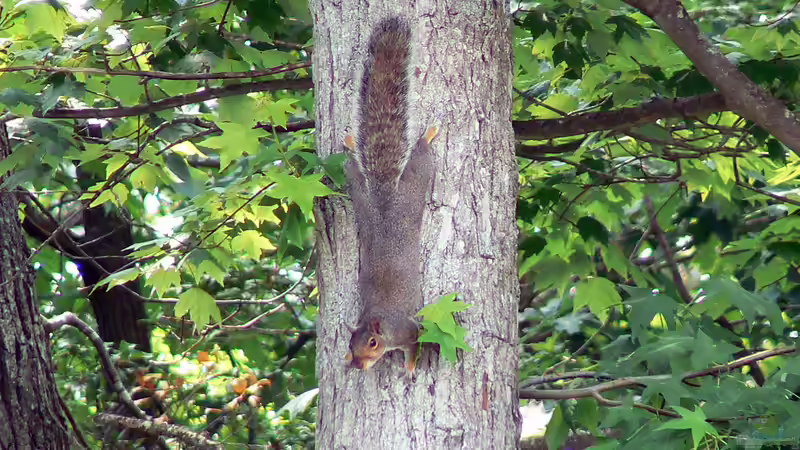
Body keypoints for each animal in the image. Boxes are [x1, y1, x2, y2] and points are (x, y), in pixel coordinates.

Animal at [343, 17, 438, 376]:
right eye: (349, 344)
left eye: (372, 343)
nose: (358, 365)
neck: (378, 319)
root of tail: (384, 204)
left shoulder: (408, 329)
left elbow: (415, 344)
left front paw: (410, 366)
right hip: (362, 202)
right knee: (353, 173)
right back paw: (351, 146)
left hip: (413, 191)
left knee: (421, 161)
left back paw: (427, 137)